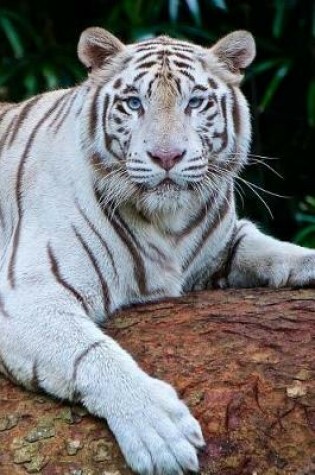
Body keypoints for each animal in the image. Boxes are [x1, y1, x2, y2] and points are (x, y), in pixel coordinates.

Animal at [0, 27, 315, 474]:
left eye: (195, 102)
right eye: (134, 103)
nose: (167, 156)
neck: (169, 225)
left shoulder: (219, 246)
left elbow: (268, 249)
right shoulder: (29, 295)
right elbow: (93, 354)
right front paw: (159, 430)